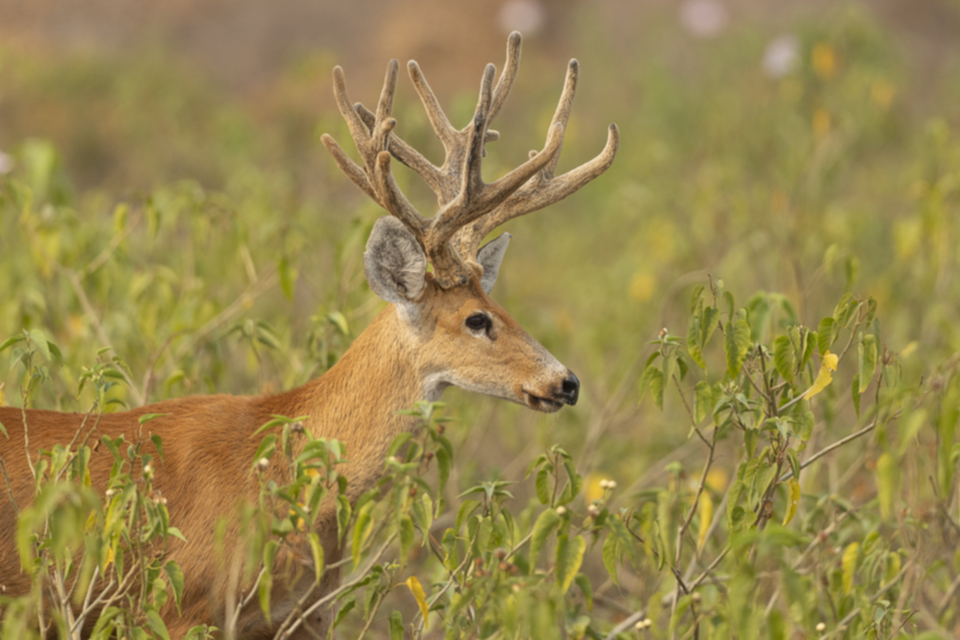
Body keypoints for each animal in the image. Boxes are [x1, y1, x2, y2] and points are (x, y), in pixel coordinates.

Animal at [0, 32, 617, 638]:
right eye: (476, 319)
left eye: (498, 303)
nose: (566, 382)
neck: (282, 472)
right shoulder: (174, 606)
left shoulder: (303, 615)